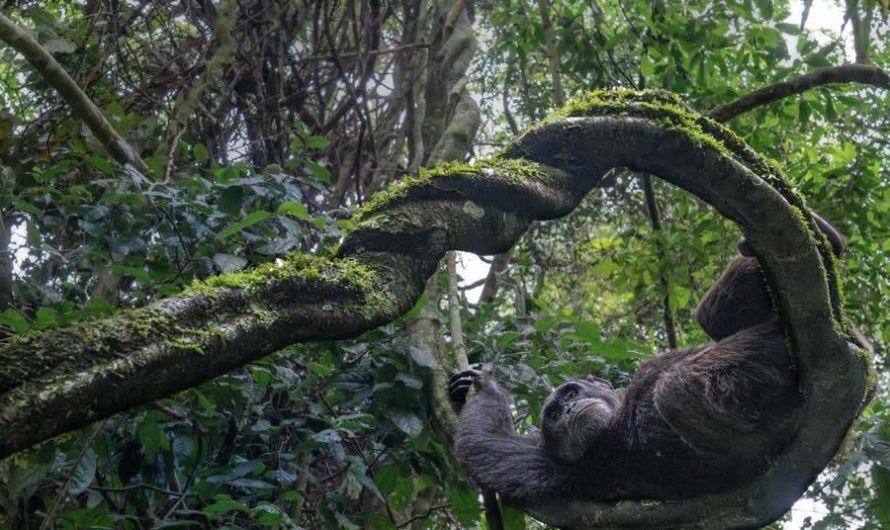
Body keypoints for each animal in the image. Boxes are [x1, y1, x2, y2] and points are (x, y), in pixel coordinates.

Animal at [449, 217, 844, 504]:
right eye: (554, 414)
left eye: (570, 394)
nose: (567, 410)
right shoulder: (548, 462)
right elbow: (486, 449)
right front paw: (487, 389)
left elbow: (487, 450)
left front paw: (468, 389)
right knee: (678, 388)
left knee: (712, 317)